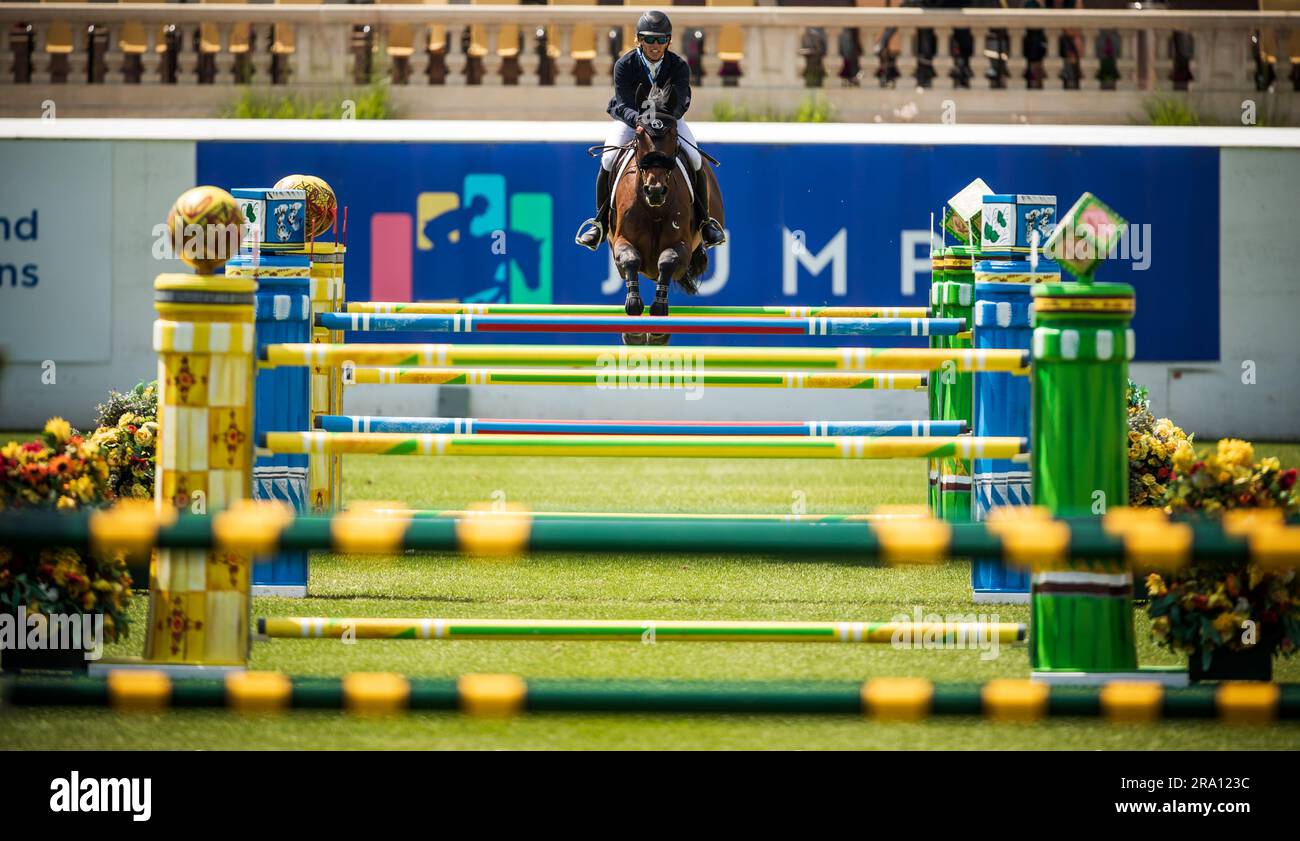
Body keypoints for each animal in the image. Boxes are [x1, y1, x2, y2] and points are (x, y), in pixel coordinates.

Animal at [600, 115, 722, 345]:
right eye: (639, 138)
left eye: (673, 139)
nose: (655, 191)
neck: (653, 207)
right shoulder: (621, 241)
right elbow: (630, 260)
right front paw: (634, 326)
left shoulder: (682, 247)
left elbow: (668, 261)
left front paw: (658, 320)